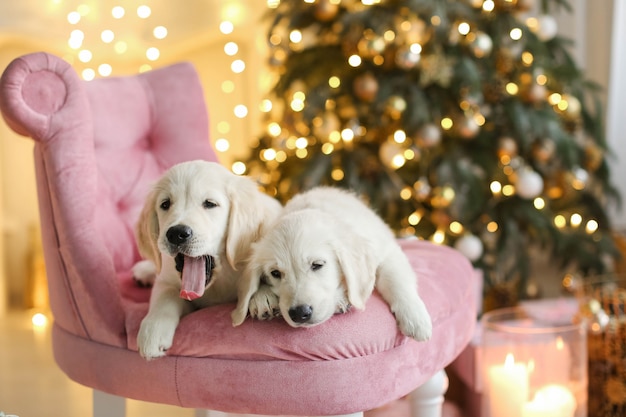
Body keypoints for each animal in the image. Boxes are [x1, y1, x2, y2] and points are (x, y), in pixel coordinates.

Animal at [135, 159, 280, 358]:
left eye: (210, 204)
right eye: (165, 204)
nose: (176, 233)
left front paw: (262, 297)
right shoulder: (168, 281)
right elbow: (166, 295)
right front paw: (153, 330)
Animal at [232, 186, 432, 342]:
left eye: (317, 265)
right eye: (275, 273)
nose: (299, 313)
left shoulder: (387, 251)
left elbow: (396, 280)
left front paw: (415, 318)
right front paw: (261, 297)